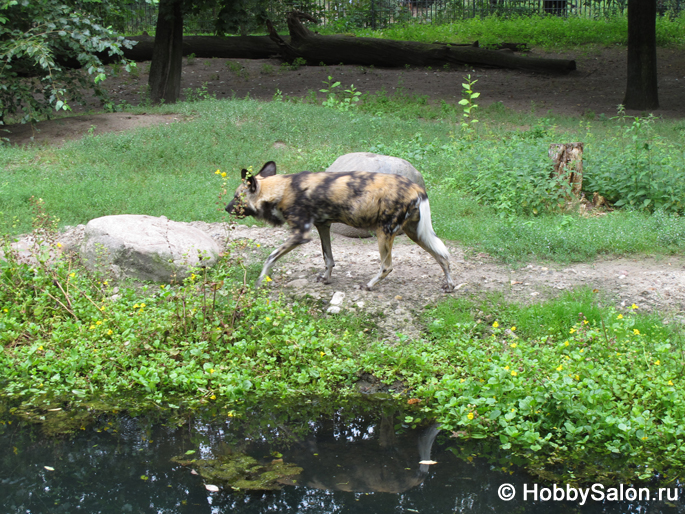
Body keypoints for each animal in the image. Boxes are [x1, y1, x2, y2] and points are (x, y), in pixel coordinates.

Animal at [224, 160, 456, 290]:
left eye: (236, 198)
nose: (226, 208)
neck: (281, 190)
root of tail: (417, 188)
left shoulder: (300, 235)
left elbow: (270, 257)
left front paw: (259, 281)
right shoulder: (323, 226)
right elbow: (329, 259)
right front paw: (326, 279)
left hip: (384, 232)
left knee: (387, 266)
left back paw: (369, 285)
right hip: (415, 233)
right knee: (443, 257)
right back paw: (449, 286)